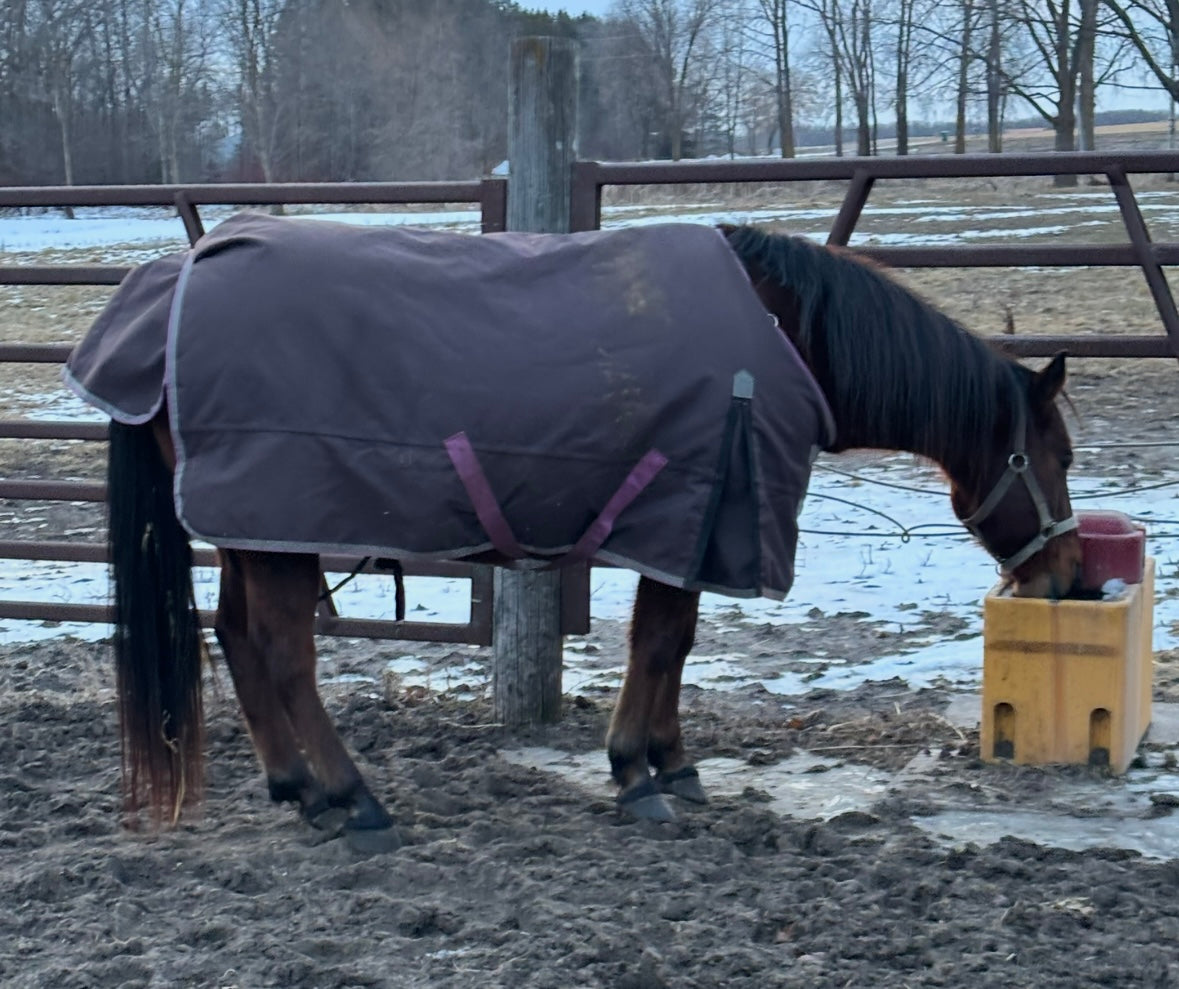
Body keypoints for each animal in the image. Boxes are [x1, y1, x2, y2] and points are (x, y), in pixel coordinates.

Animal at [94, 221, 1081, 853]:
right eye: (1058, 453)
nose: (1067, 579)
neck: (780, 333)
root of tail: (172, 281)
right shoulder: (691, 516)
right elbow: (660, 642)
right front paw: (637, 773)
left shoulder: (688, 531)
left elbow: (673, 644)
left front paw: (671, 763)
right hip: (277, 529)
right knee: (283, 651)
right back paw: (352, 800)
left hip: (247, 529)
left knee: (238, 639)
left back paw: (296, 788)